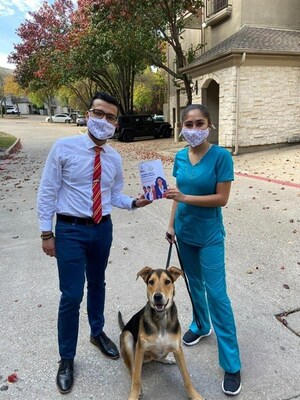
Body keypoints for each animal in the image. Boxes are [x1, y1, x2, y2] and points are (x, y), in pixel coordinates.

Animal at [117, 266, 204, 400]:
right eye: (151, 282)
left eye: (167, 281)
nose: (157, 296)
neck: (161, 318)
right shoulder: (140, 349)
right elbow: (136, 378)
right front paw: (134, 394)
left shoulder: (177, 349)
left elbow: (186, 377)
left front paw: (194, 395)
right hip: (127, 336)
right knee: (132, 369)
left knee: (156, 357)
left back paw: (167, 359)